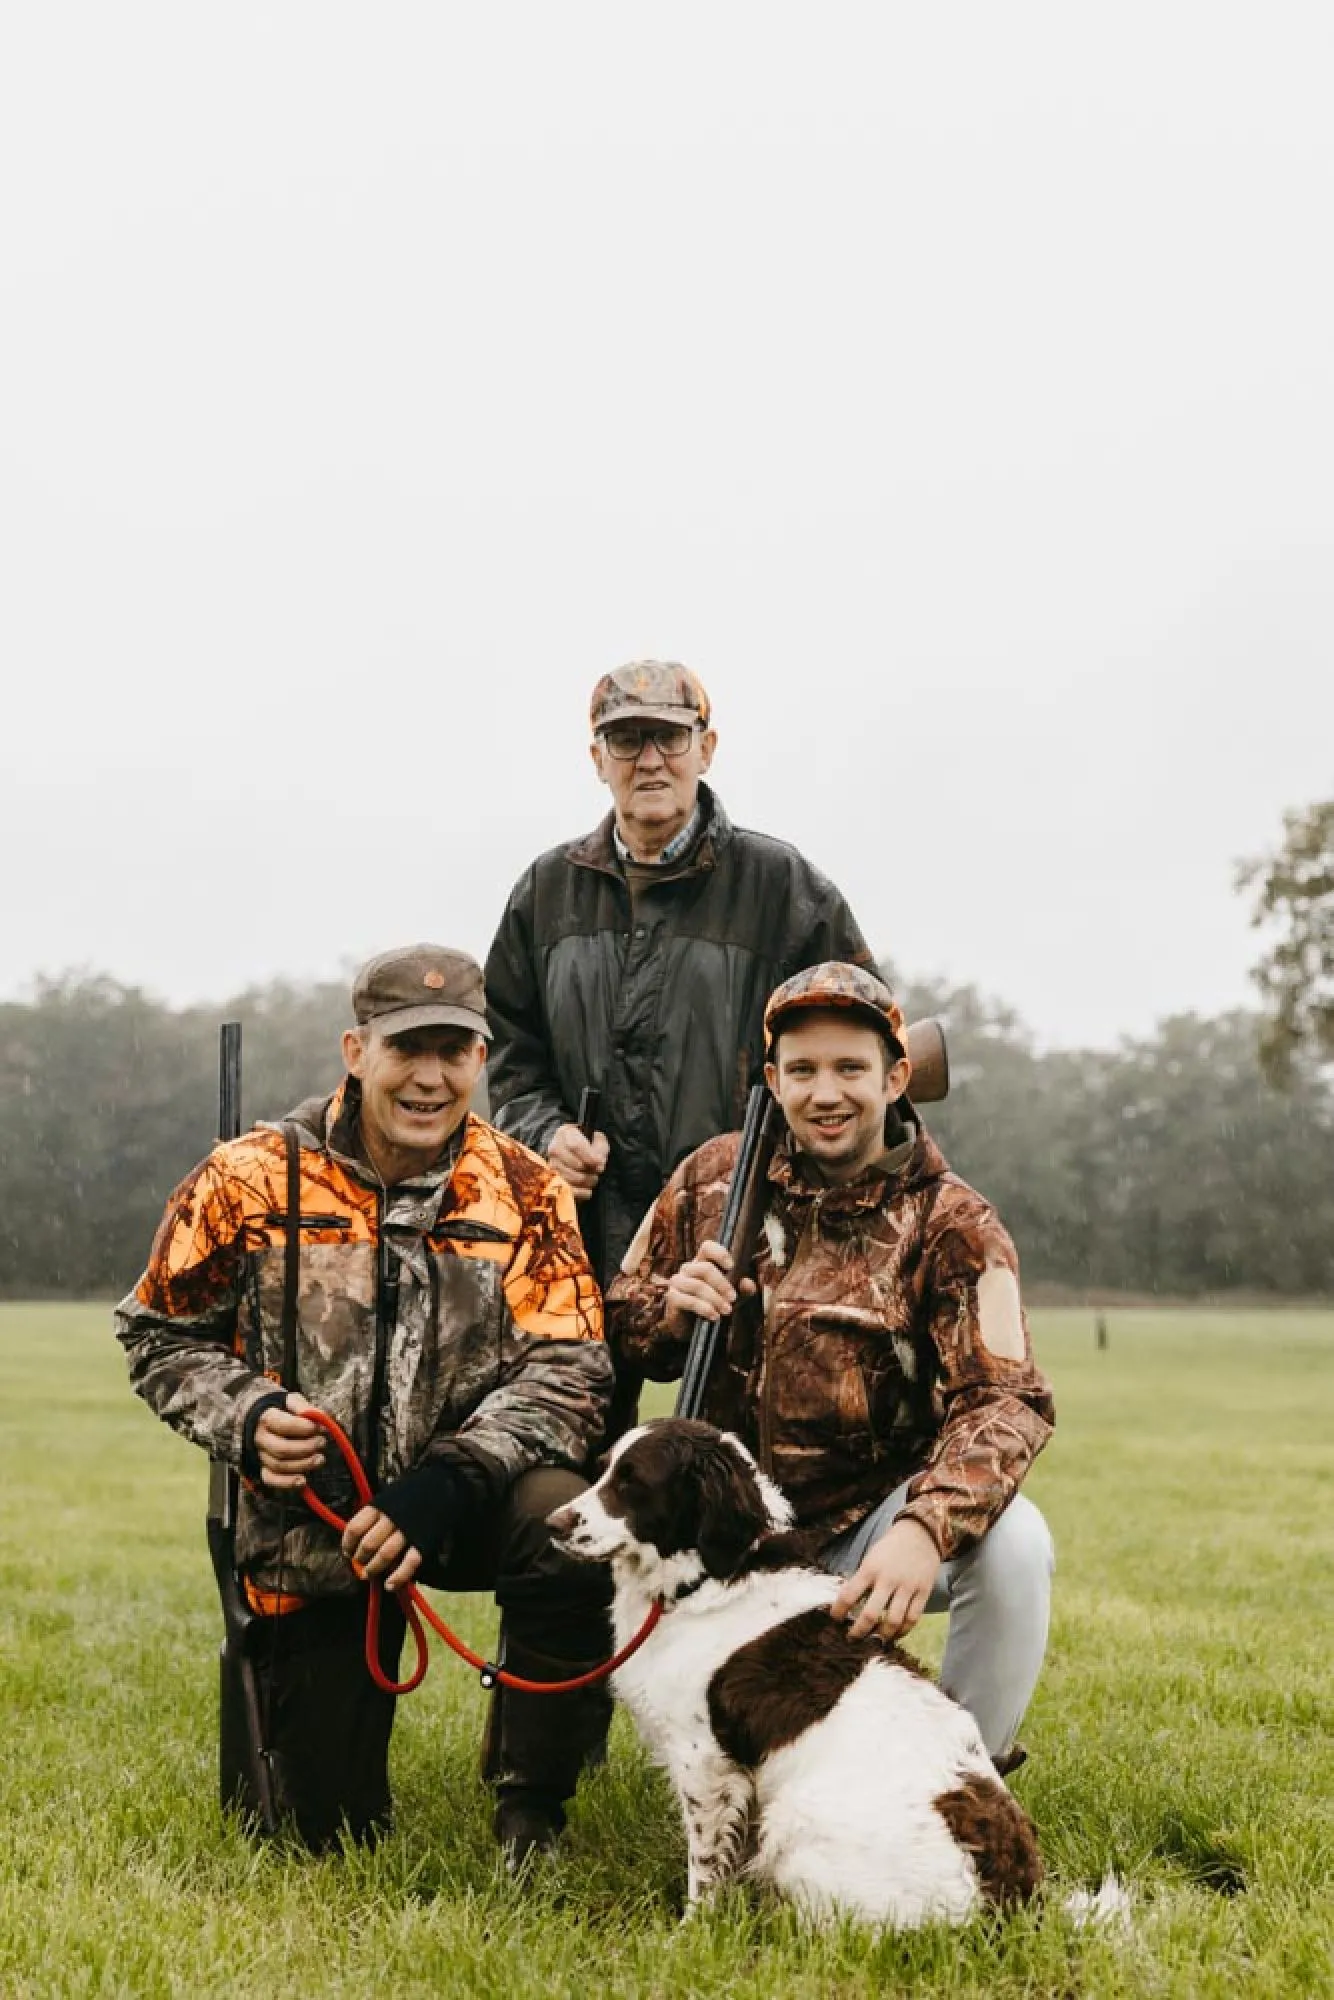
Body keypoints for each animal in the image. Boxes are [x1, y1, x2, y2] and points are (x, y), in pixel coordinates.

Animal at [548, 1416, 1048, 1928]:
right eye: (604, 1469)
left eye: (633, 1482)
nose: (554, 1524)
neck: (708, 1578)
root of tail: (1006, 1902)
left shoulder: (705, 1761)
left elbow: (704, 1867)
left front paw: (691, 1929)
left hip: (793, 1817)